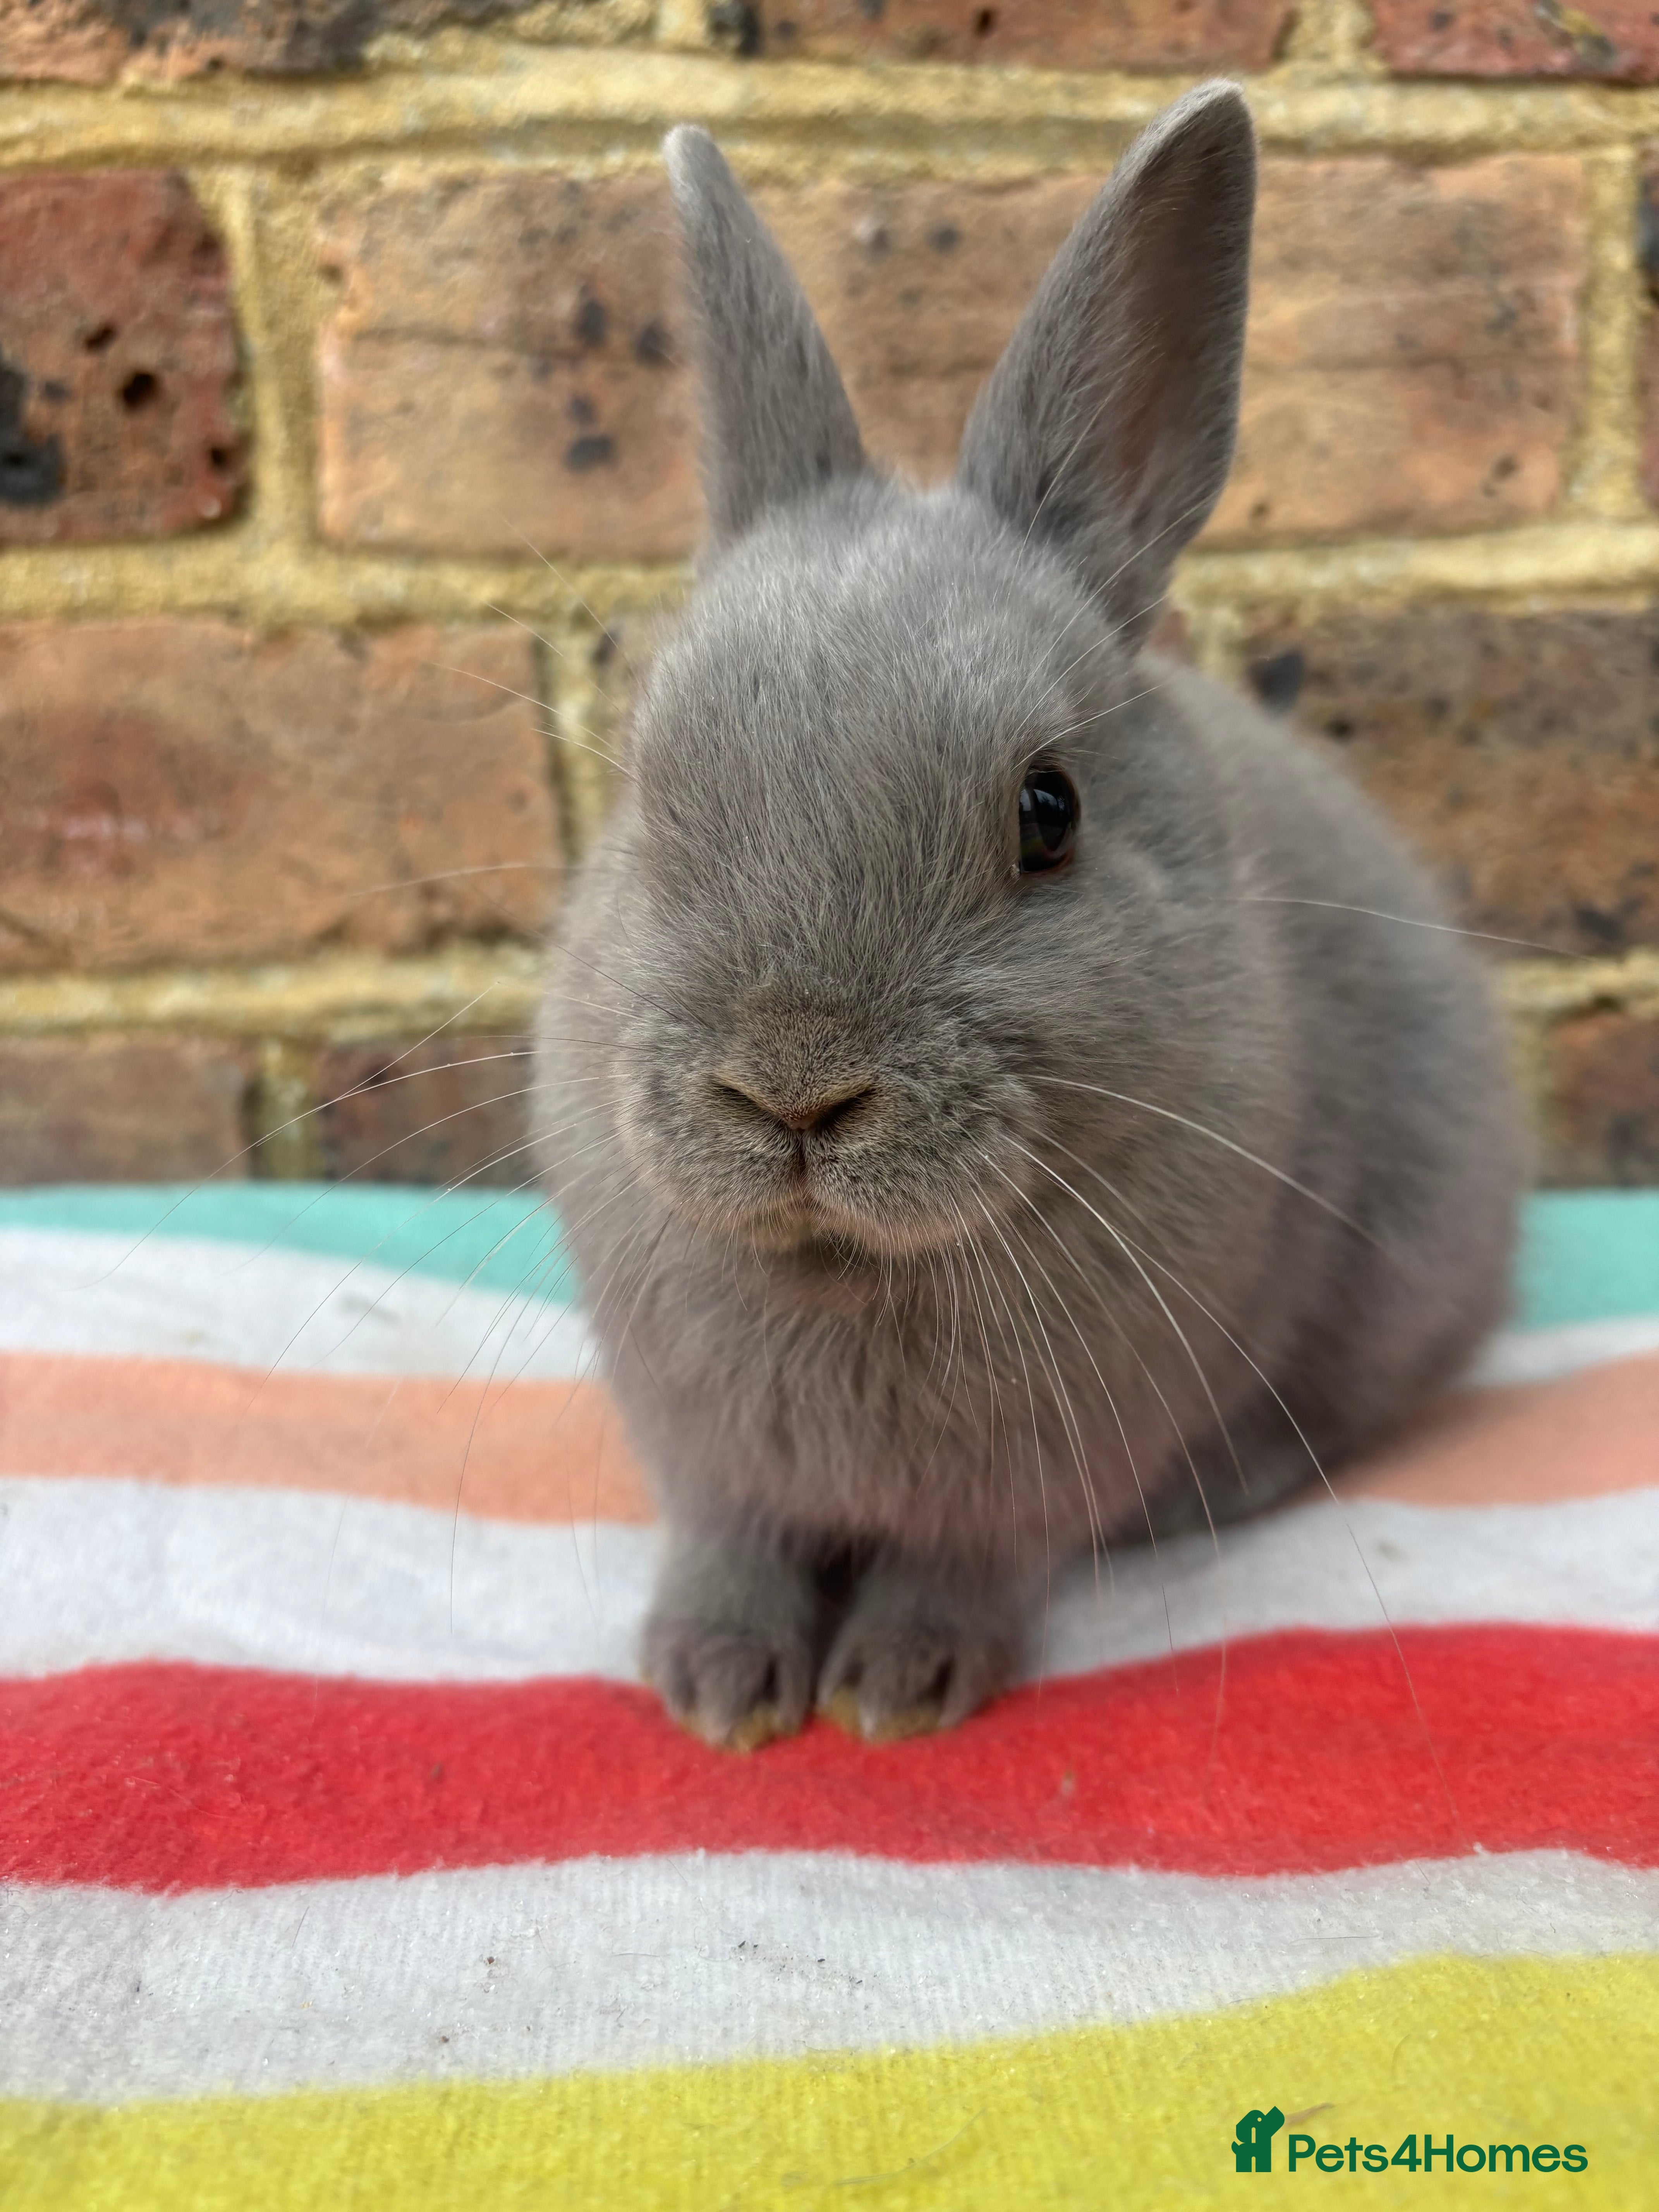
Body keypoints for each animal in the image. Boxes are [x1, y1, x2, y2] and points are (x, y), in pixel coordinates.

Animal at [535, 81, 1525, 1752]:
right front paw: (718, 1688)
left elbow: (963, 1565)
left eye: (1046, 813)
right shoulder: (713, 1460)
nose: (793, 1090)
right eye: (653, 792)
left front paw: (898, 1690)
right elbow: (732, 1543)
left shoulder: (1026, 1480)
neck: (849, 1267)